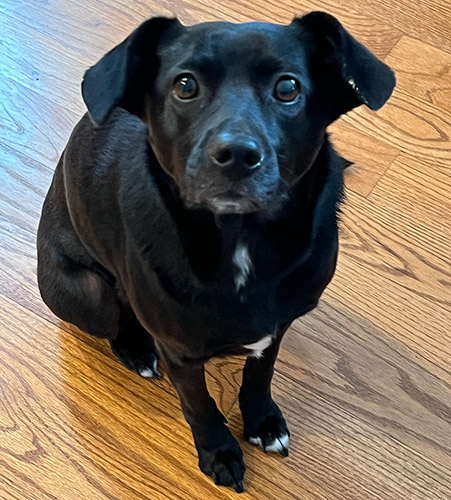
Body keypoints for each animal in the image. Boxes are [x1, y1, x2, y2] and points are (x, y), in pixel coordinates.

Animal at [36, 11, 396, 492]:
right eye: (185, 85)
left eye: (288, 88)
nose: (237, 154)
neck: (240, 241)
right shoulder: (180, 352)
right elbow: (200, 405)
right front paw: (219, 452)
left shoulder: (278, 328)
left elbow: (260, 375)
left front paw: (262, 422)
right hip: (87, 294)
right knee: (115, 320)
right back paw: (135, 350)